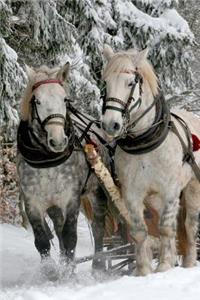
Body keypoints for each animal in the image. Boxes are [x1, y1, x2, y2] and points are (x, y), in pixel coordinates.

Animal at [101, 43, 200, 276]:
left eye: (130, 83)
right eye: (105, 83)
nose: (111, 124)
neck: (144, 143)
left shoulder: (170, 190)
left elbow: (165, 228)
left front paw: (163, 266)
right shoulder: (132, 193)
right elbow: (139, 231)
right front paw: (144, 270)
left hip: (192, 189)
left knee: (189, 226)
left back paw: (189, 263)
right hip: (155, 198)